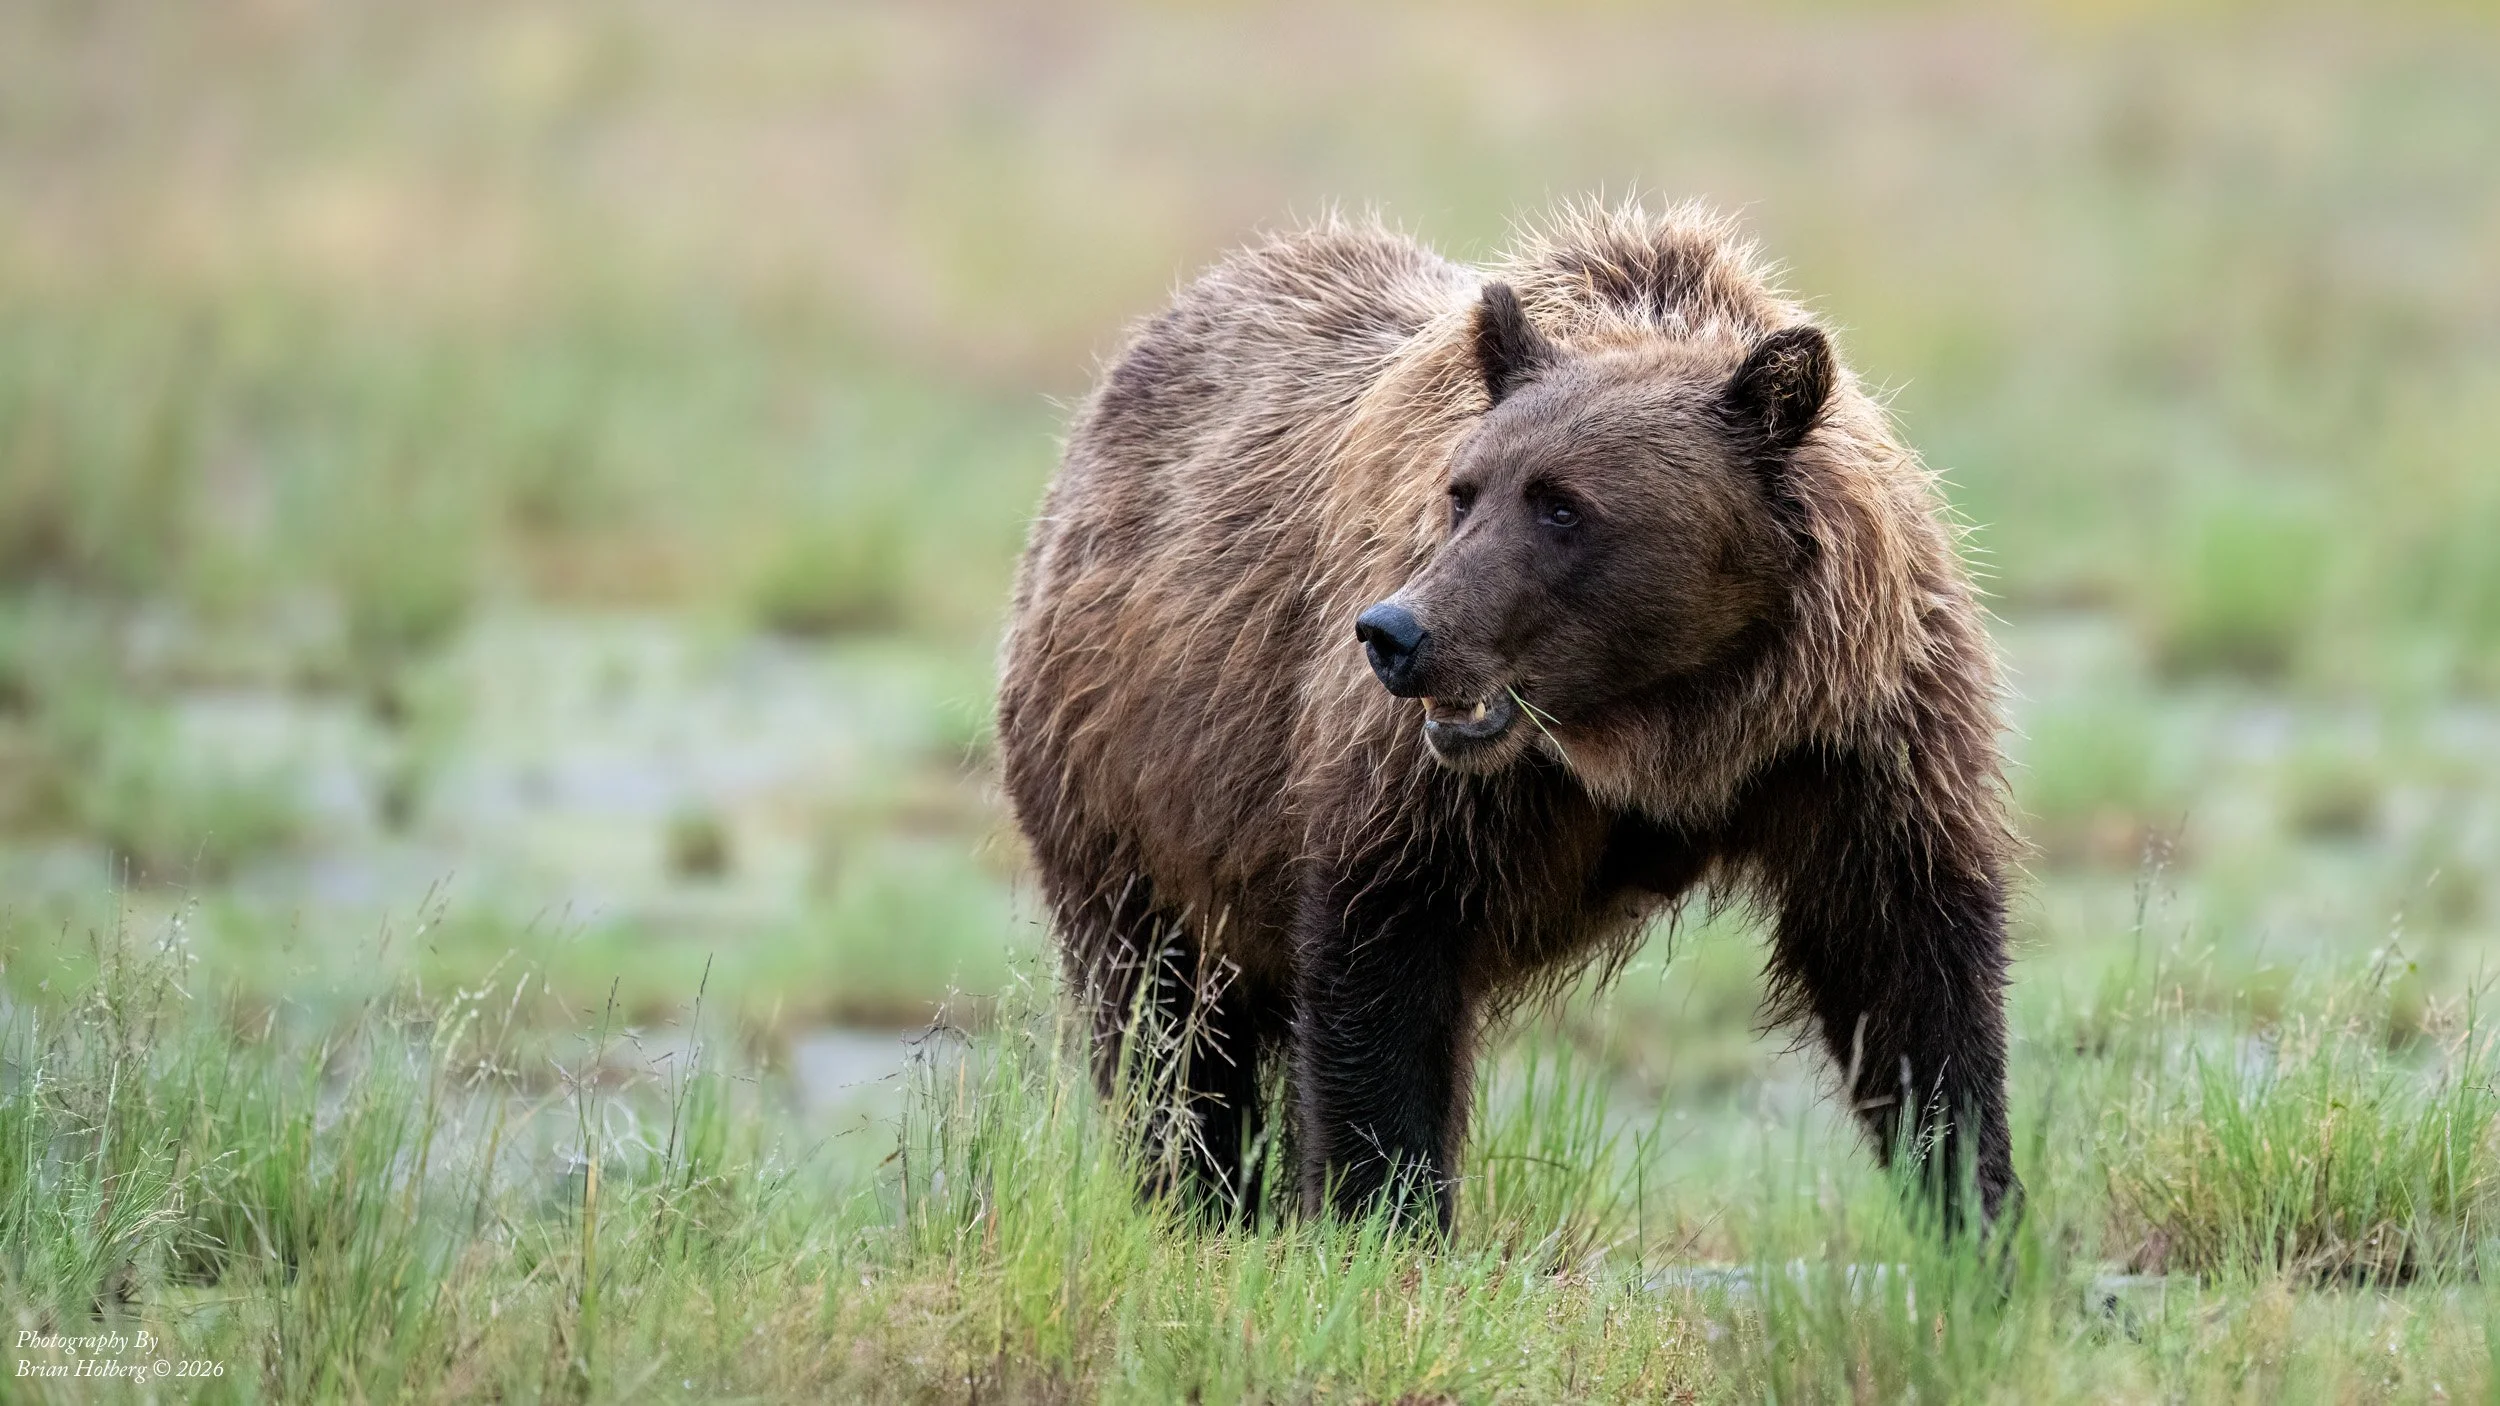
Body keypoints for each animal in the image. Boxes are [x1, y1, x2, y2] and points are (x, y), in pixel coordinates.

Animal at [997, 200, 2018, 1235]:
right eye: (1464, 490)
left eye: (1562, 506)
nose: (1395, 632)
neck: (1676, 722)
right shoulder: (1429, 790)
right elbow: (1383, 956)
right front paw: (1386, 1217)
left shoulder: (1856, 736)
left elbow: (1902, 966)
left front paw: (1974, 1212)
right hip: (1130, 787)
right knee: (1170, 1022)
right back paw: (1200, 1198)